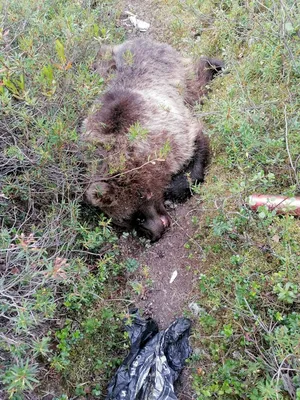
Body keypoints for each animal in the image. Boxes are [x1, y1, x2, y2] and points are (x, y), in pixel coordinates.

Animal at [82, 39, 223, 242]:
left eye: (137, 216)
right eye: (127, 221)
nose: (154, 233)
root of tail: (131, 41)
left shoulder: (172, 132)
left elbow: (196, 144)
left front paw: (172, 187)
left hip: (175, 74)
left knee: (197, 80)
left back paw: (217, 65)